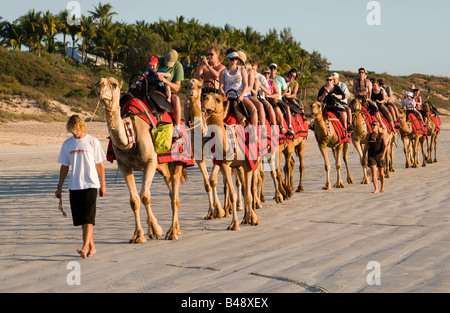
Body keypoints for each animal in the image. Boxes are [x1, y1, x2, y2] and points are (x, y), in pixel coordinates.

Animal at [97, 76, 189, 241]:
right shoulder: (124, 166)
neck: (130, 132)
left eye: (114, 84)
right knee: (171, 189)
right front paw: (138, 236)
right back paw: (176, 229)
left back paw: (172, 233)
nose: (99, 87)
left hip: (178, 160)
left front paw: (155, 230)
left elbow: (145, 196)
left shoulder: (149, 161)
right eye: (97, 82)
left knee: (175, 197)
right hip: (163, 166)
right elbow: (134, 200)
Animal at [201, 92, 260, 229]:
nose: (205, 98)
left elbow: (249, 194)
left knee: (253, 187)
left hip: (255, 162)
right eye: (205, 96)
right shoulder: (224, 165)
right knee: (243, 188)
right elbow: (234, 194)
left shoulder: (248, 165)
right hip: (238, 167)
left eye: (218, 99)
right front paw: (235, 224)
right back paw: (245, 218)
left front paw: (253, 219)